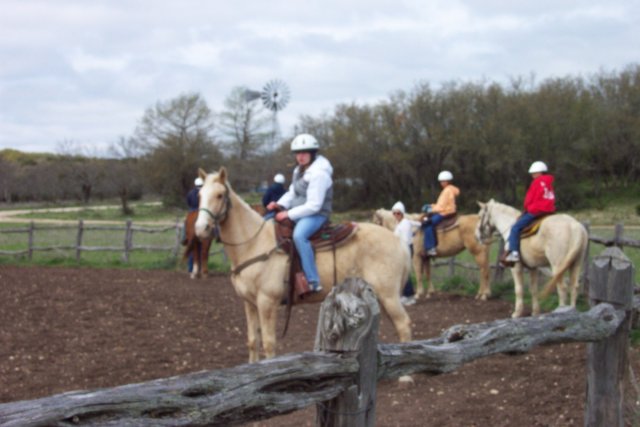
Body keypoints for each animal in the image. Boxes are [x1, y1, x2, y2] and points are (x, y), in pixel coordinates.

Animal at [195, 167, 413, 363]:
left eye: (220, 195)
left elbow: (268, 343)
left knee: (403, 324)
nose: (201, 228)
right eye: (199, 195)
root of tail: (397, 240)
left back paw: (405, 376)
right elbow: (252, 341)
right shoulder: (249, 303)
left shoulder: (267, 302)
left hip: (389, 295)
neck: (253, 243)